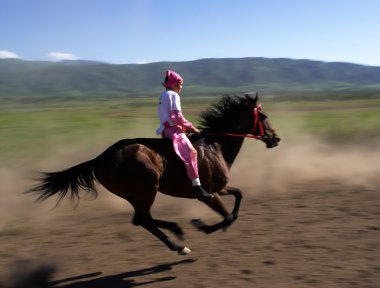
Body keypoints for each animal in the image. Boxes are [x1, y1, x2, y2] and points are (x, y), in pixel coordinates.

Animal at [28, 92, 280, 254]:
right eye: (264, 116)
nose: (275, 138)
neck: (215, 145)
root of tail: (101, 158)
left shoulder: (221, 188)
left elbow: (238, 197)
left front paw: (204, 224)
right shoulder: (208, 193)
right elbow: (228, 215)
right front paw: (202, 225)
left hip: (134, 194)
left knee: (141, 219)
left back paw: (177, 237)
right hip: (148, 187)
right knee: (143, 219)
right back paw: (178, 243)